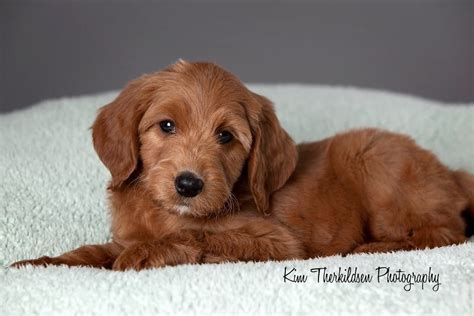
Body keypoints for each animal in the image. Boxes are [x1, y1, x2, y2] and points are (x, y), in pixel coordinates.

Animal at [12, 60, 474, 270]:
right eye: (167, 125)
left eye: (225, 137)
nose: (188, 185)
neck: (163, 213)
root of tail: (451, 173)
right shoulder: (124, 233)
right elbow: (93, 251)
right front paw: (42, 264)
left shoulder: (276, 242)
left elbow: (197, 236)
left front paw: (145, 254)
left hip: (376, 160)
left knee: (444, 232)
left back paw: (372, 247)